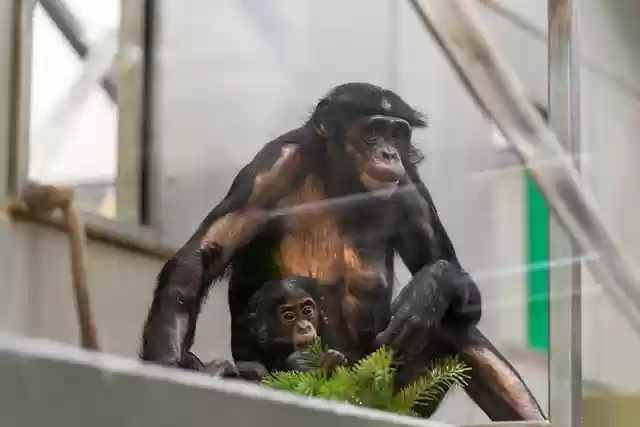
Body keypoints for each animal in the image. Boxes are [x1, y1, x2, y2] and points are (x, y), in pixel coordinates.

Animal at [140, 82, 545, 421]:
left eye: (397, 133)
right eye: (372, 132)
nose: (388, 153)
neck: (340, 180)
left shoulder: (410, 183)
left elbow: (448, 269)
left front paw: (432, 285)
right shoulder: (270, 167)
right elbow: (201, 256)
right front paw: (168, 366)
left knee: (455, 324)